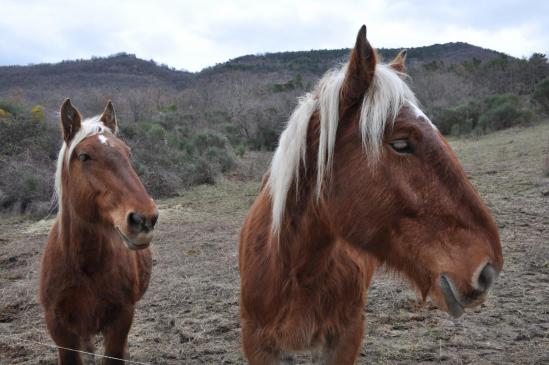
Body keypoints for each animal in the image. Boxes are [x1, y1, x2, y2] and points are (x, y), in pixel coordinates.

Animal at [38, 99, 157, 364]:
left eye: (128, 153)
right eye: (84, 156)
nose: (144, 219)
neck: (85, 265)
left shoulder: (121, 319)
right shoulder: (60, 329)